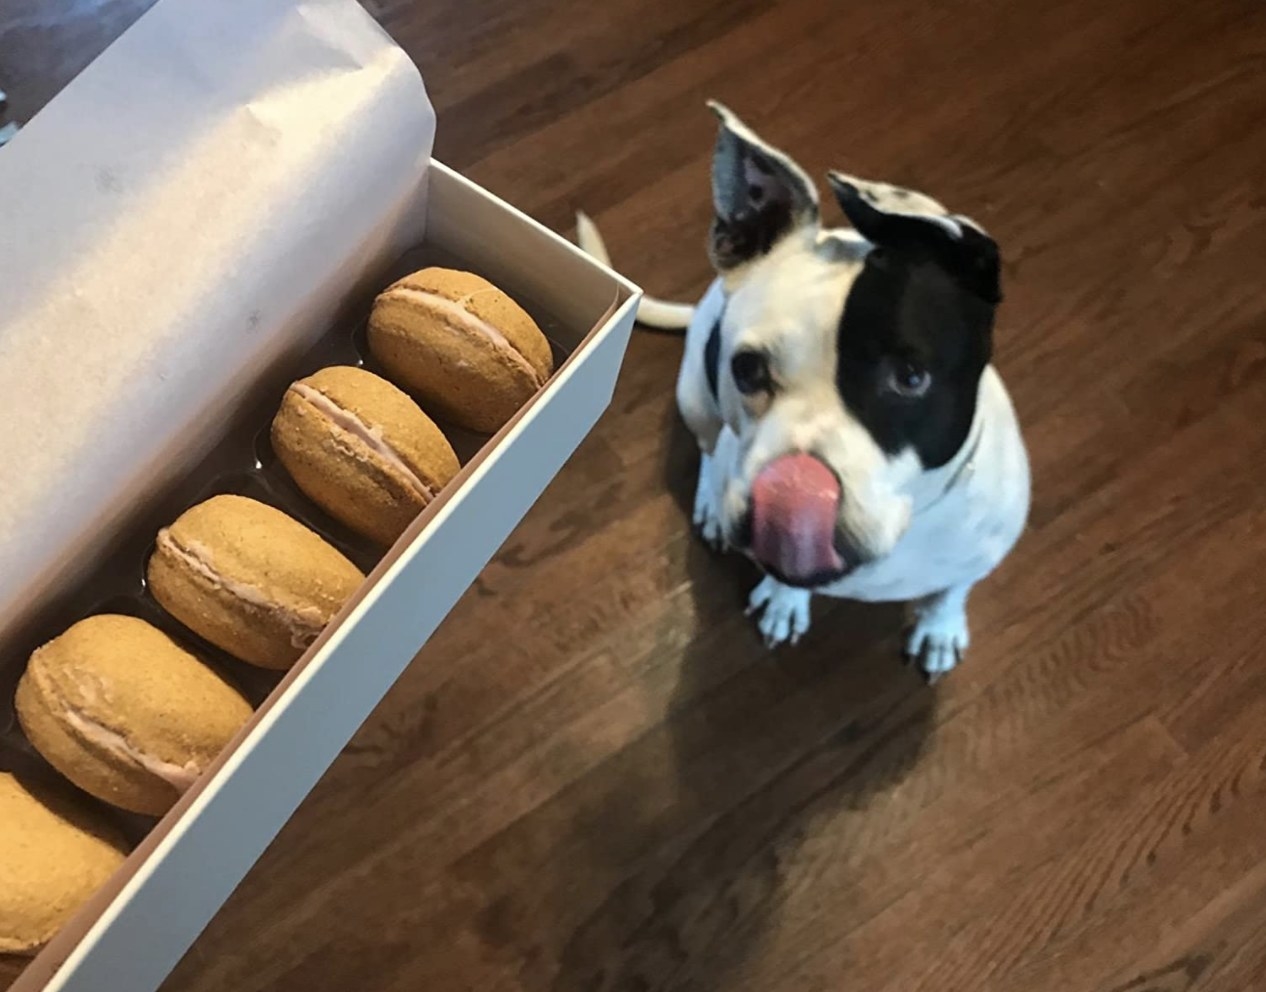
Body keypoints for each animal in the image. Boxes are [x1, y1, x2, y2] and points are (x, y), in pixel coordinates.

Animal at [574, 102, 1027, 683]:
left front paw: (941, 627)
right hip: (696, 395)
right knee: (708, 448)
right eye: (747, 369)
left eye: (910, 377)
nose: (792, 494)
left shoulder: (979, 549)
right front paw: (785, 599)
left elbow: (953, 588)